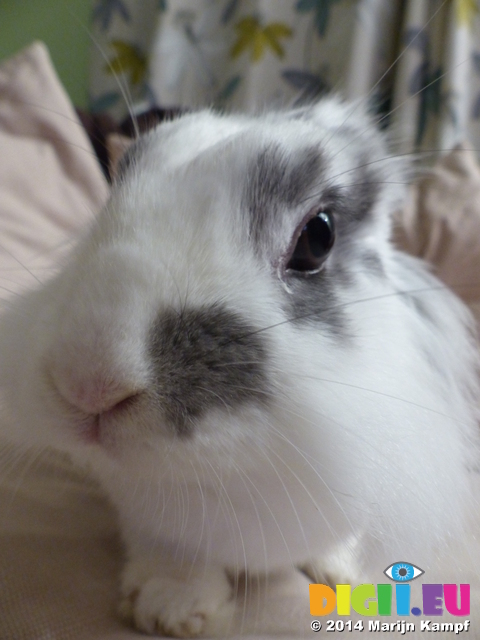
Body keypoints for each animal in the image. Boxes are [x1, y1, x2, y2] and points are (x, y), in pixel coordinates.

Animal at [0, 99, 480, 636]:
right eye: (110, 199)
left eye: (318, 237)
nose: (90, 384)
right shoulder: (151, 519)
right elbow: (174, 550)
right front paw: (167, 607)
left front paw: (344, 573)